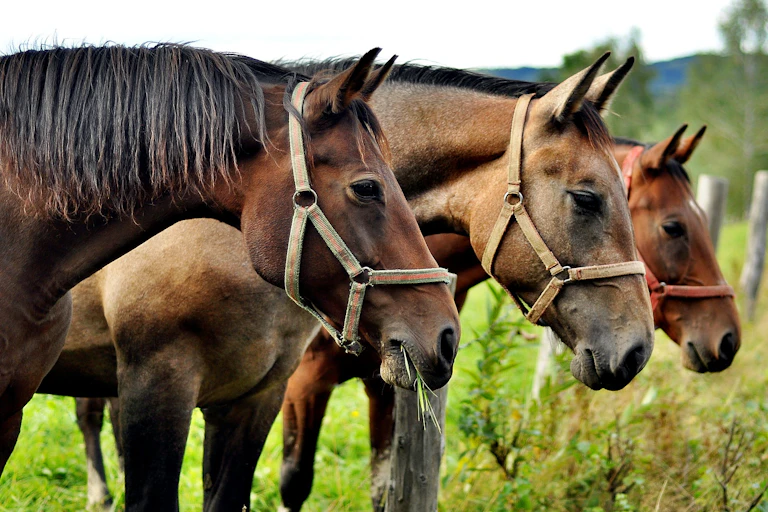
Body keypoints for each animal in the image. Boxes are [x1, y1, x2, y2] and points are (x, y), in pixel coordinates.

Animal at [278, 125, 741, 512]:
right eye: (673, 227)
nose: (729, 338)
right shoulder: (303, 383)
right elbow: (294, 482)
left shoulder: (386, 383)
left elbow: (382, 488)